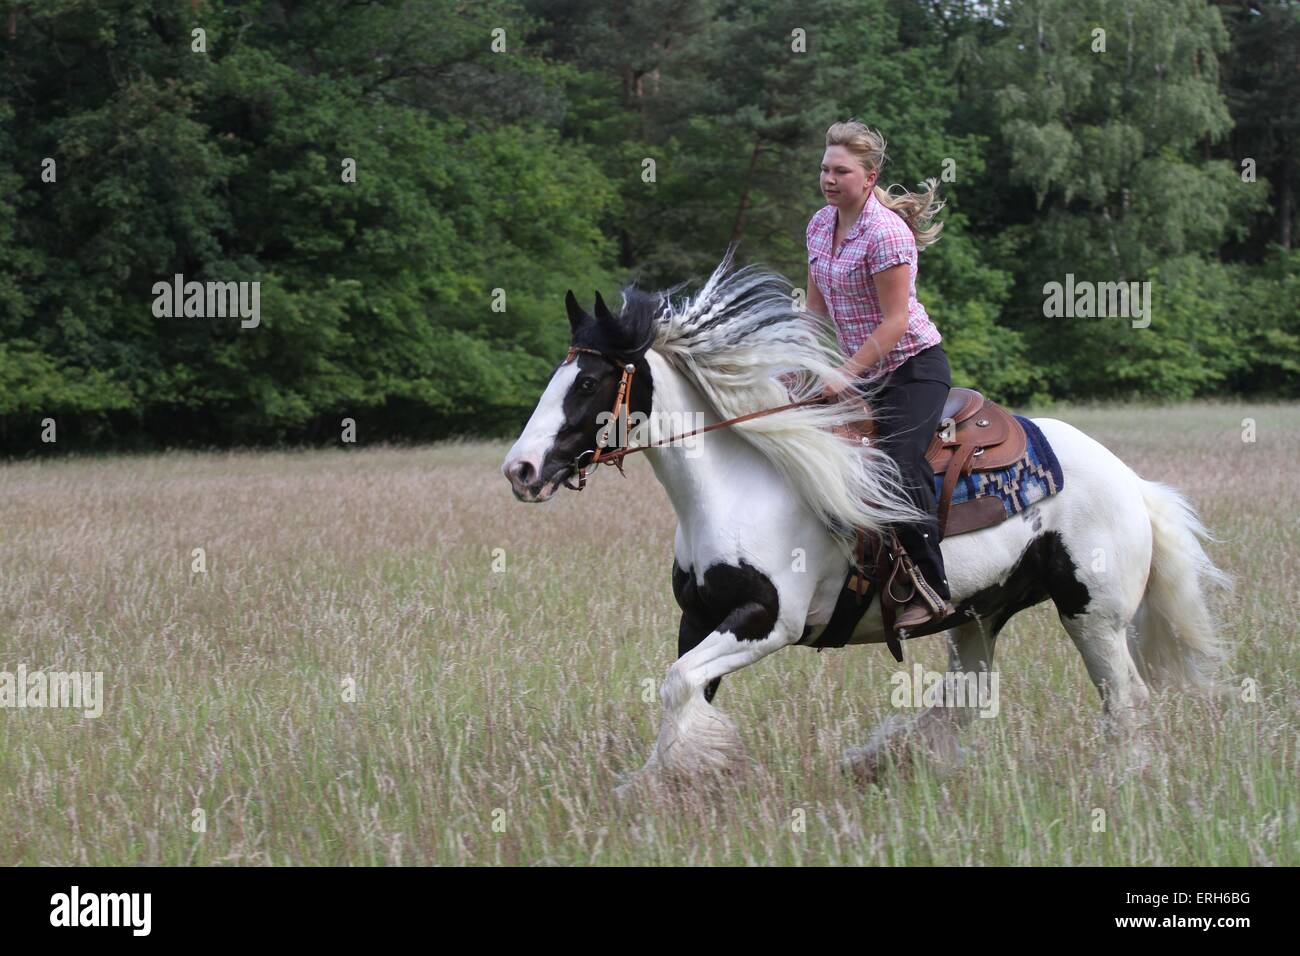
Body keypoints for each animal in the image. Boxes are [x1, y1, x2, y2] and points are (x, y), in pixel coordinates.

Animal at [496, 254, 1227, 785]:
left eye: (588, 382)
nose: (521, 470)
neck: (734, 487)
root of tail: (1131, 482)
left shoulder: (768, 621)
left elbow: (680, 686)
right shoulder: (700, 617)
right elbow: (687, 689)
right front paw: (659, 782)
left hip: (1091, 612)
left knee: (1124, 698)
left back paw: (1116, 782)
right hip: (980, 612)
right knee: (969, 696)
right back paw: (884, 761)